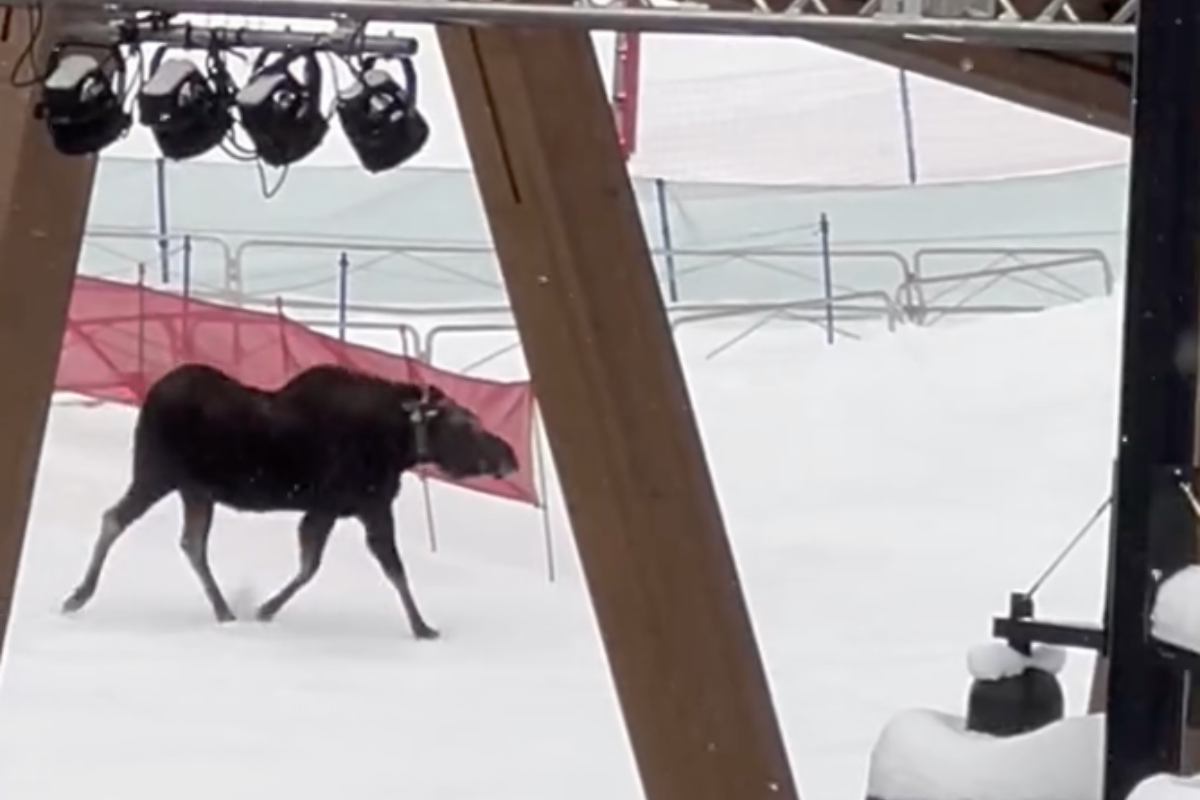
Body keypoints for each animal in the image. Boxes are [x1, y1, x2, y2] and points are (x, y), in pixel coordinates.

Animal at [59, 362, 520, 638]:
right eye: (465, 423)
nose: (510, 456)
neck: (401, 445)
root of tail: (152, 394)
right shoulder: (364, 506)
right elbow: (388, 568)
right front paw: (422, 627)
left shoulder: (329, 509)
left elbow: (310, 565)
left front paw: (264, 608)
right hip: (157, 473)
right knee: (115, 519)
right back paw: (78, 595)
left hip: (195, 490)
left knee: (192, 544)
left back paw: (224, 610)